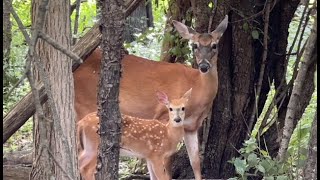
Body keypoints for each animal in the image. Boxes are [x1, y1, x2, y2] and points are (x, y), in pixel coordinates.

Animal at [74, 16, 229, 179]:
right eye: (195, 46)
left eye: (214, 45)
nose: (204, 66)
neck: (197, 88)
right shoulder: (163, 117)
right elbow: (166, 167)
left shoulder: (191, 127)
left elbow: (196, 163)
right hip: (84, 105)